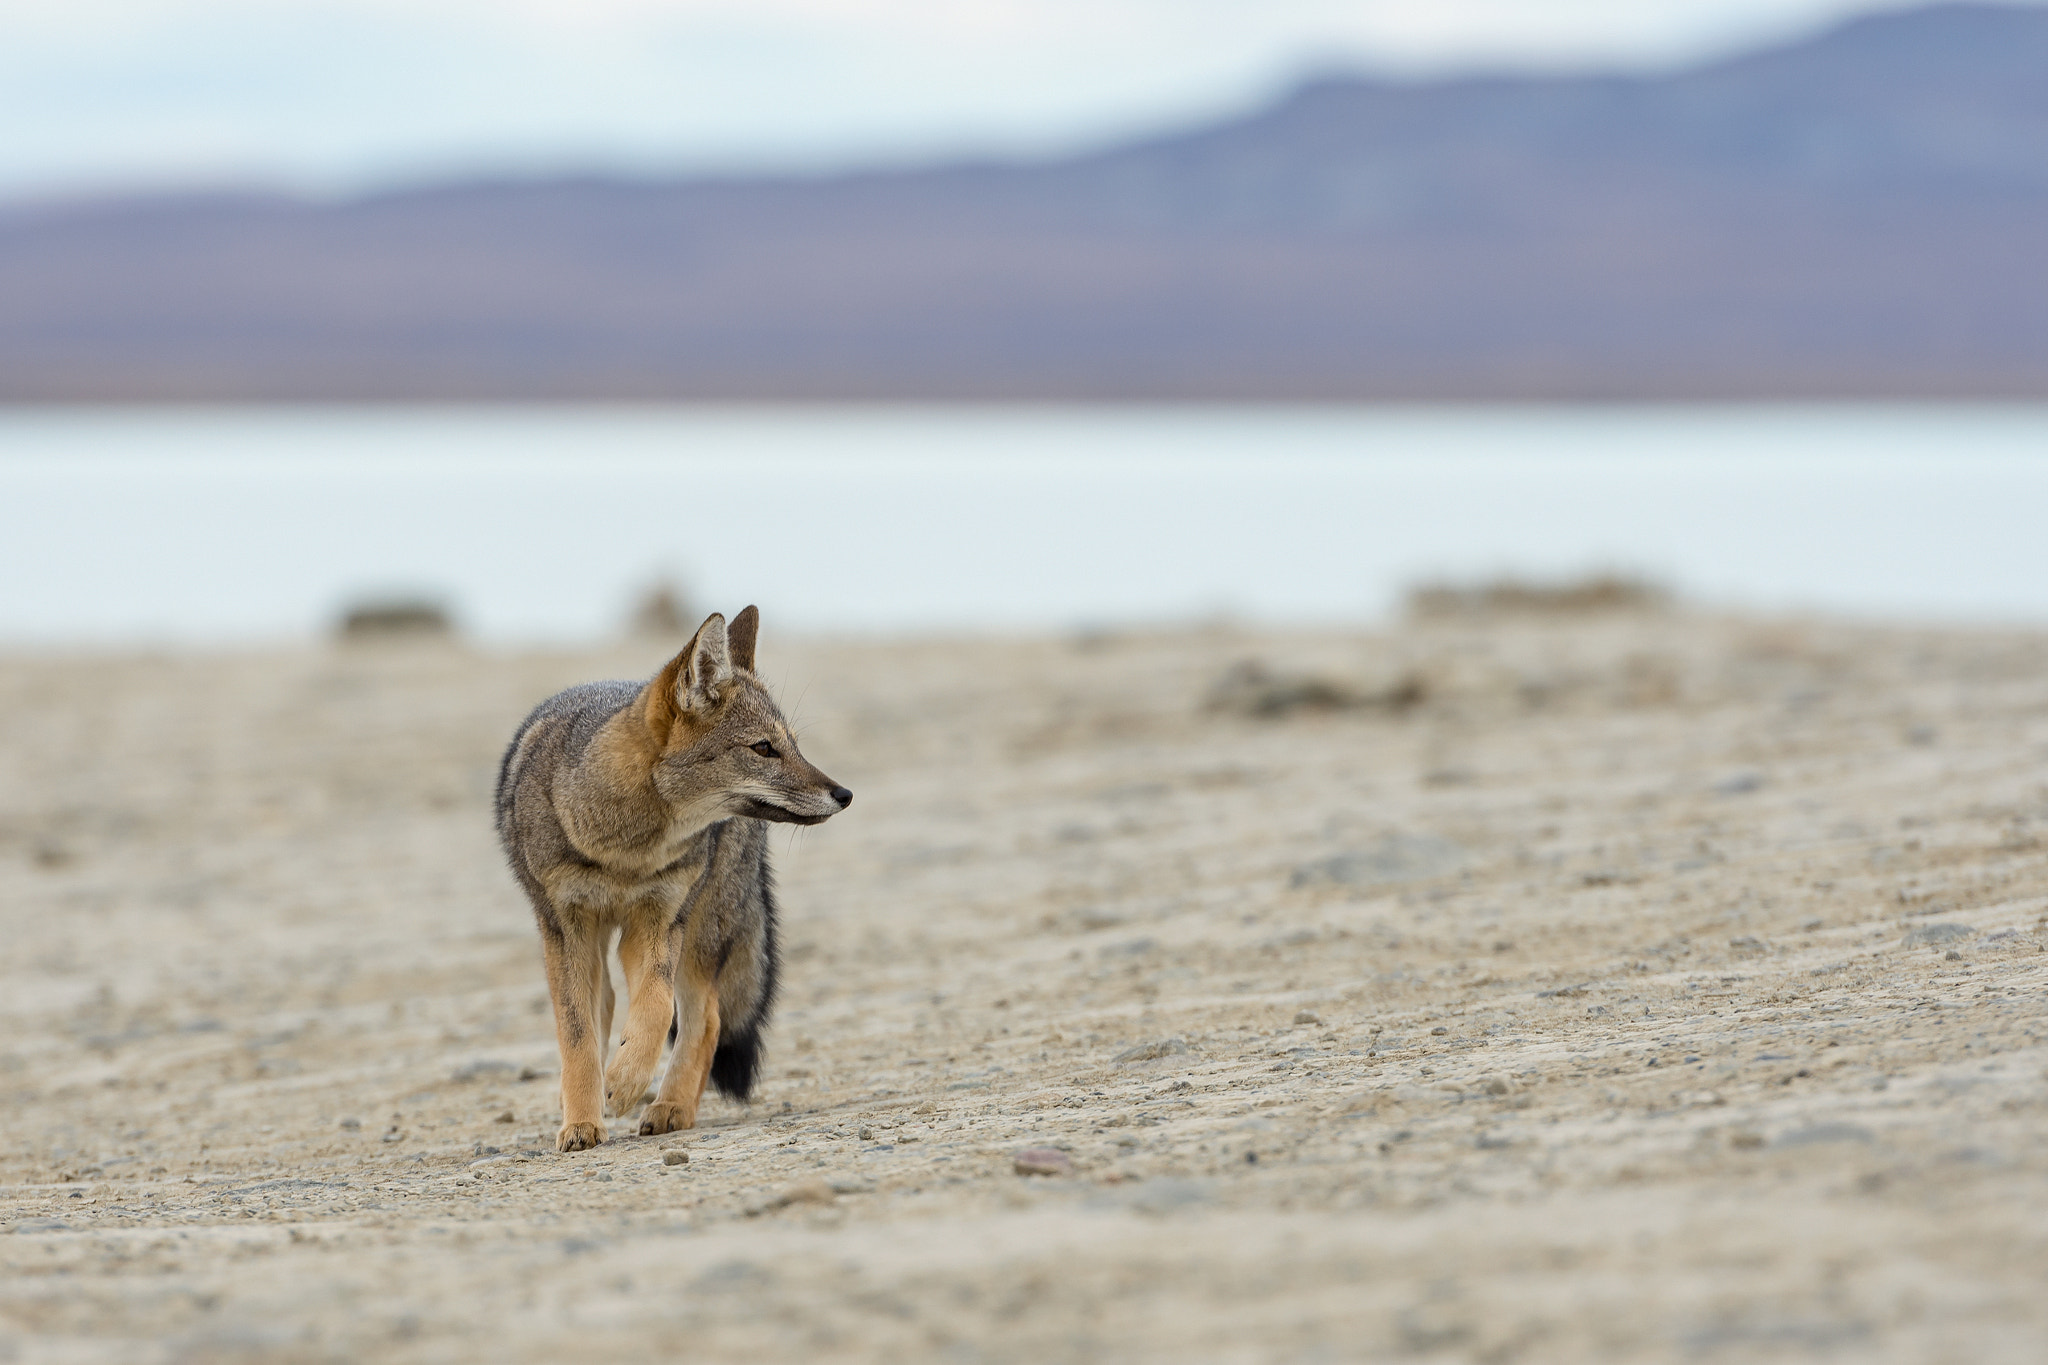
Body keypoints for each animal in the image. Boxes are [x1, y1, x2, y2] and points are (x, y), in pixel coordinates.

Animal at [494, 606, 851, 1152]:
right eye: (764, 748)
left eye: (792, 745)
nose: (845, 794)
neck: (625, 851)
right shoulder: (565, 928)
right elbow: (577, 1033)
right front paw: (582, 1120)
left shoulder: (660, 920)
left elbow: (659, 1009)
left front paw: (625, 1082)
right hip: (600, 943)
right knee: (605, 1007)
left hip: (698, 932)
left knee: (706, 1018)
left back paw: (671, 1106)